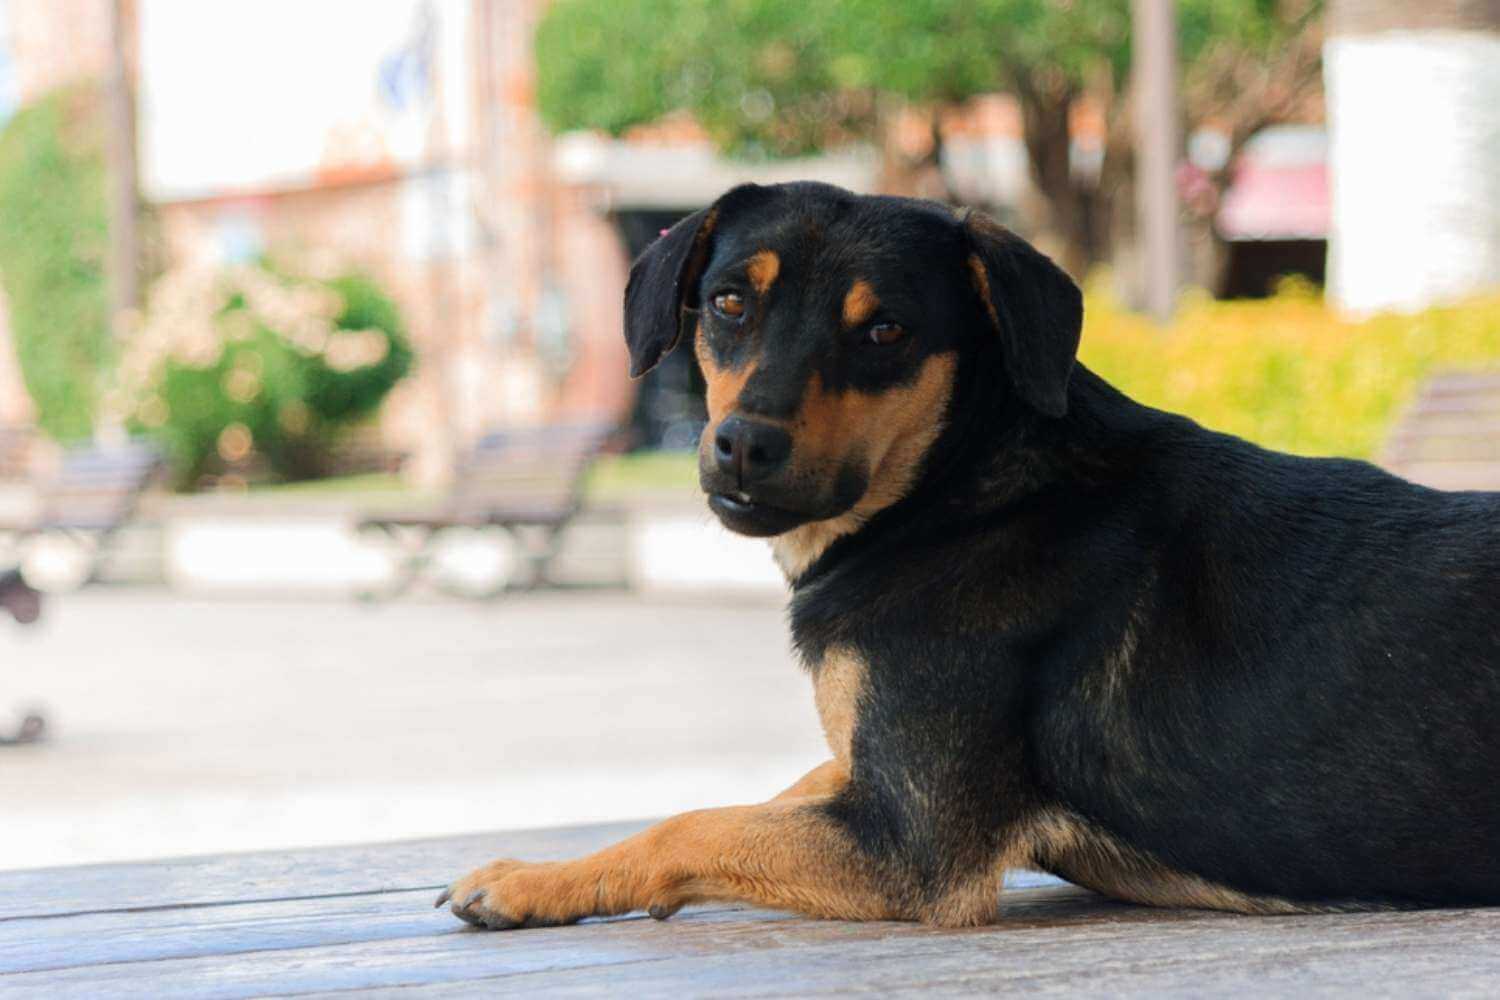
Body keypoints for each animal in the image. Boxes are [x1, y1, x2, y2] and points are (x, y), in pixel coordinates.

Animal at [438, 182, 1500, 929]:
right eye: (730, 302)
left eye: (886, 330)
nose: (743, 446)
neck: (951, 490)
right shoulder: (871, 775)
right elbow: (775, 790)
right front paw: (542, 872)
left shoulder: (910, 847)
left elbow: (696, 820)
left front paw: (529, 883)